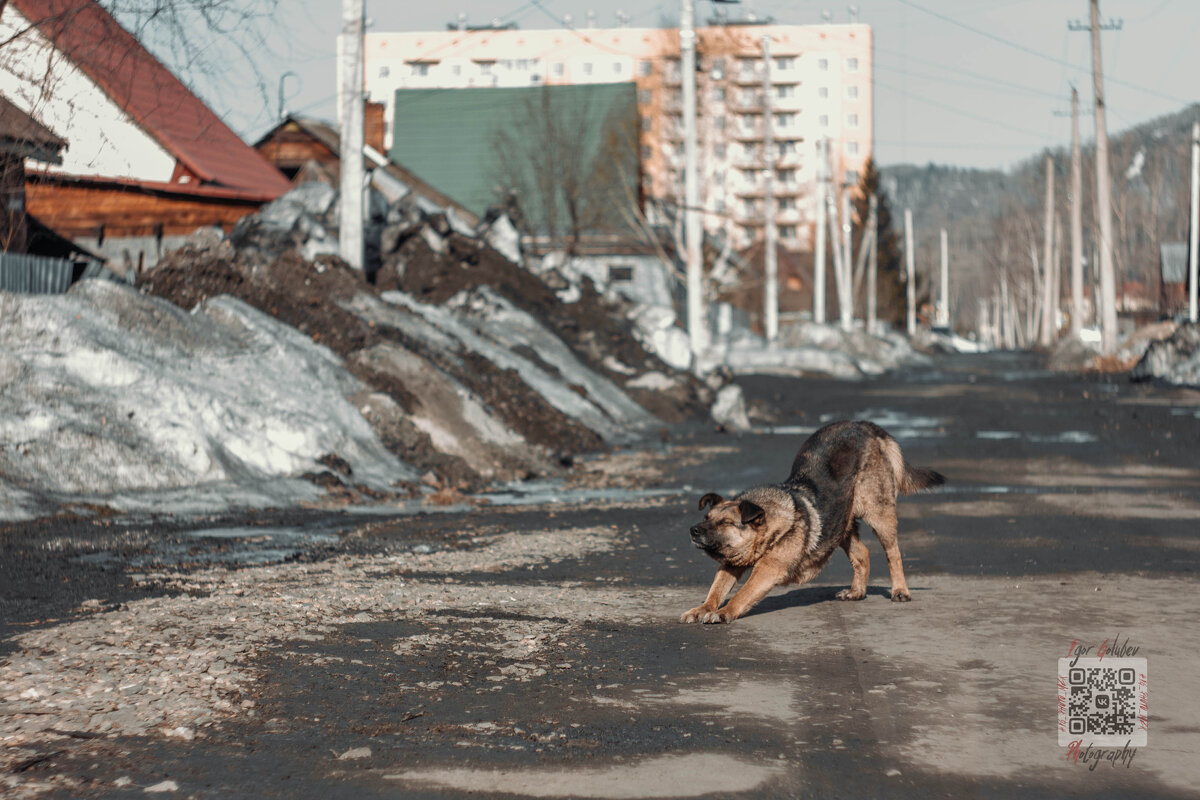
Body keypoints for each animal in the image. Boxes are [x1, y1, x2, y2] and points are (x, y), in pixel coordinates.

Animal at [681, 419, 940, 623]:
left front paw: (724, 612)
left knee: (893, 553)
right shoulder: (730, 563)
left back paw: (900, 590)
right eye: (706, 517)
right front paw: (703, 608)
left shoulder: (767, 569)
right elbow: (716, 589)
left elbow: (741, 594)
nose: (693, 530)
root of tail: (863, 425)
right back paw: (856, 592)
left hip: (879, 514)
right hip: (839, 524)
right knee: (862, 554)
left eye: (725, 523)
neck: (772, 524)